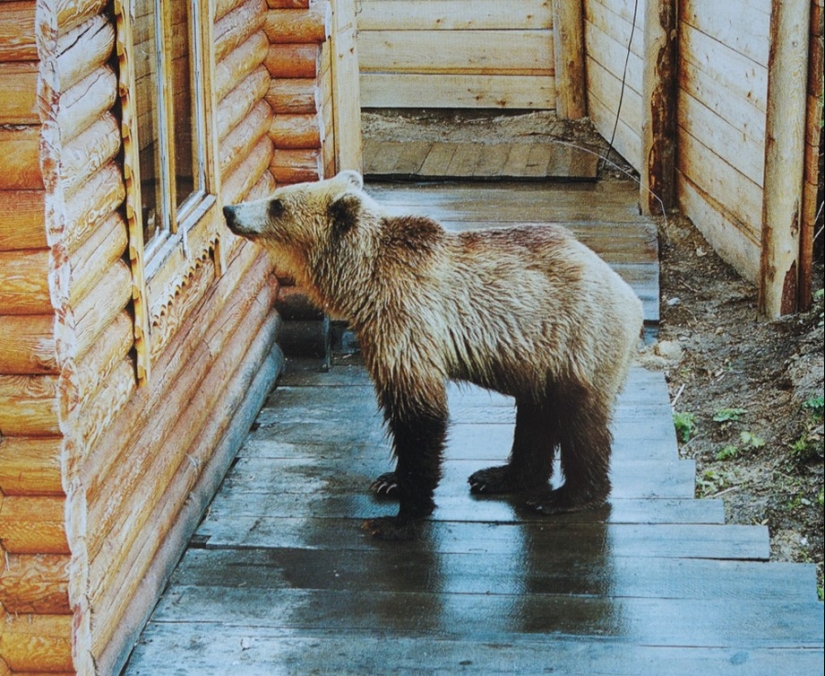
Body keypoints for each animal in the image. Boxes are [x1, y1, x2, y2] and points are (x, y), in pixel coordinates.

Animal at [224, 172, 644, 540]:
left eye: (277, 204)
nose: (230, 209)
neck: (363, 283)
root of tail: (628, 293)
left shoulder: (407, 323)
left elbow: (420, 417)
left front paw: (398, 518)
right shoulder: (380, 329)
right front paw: (390, 480)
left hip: (577, 338)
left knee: (580, 421)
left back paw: (566, 495)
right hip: (539, 356)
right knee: (534, 413)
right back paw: (500, 475)